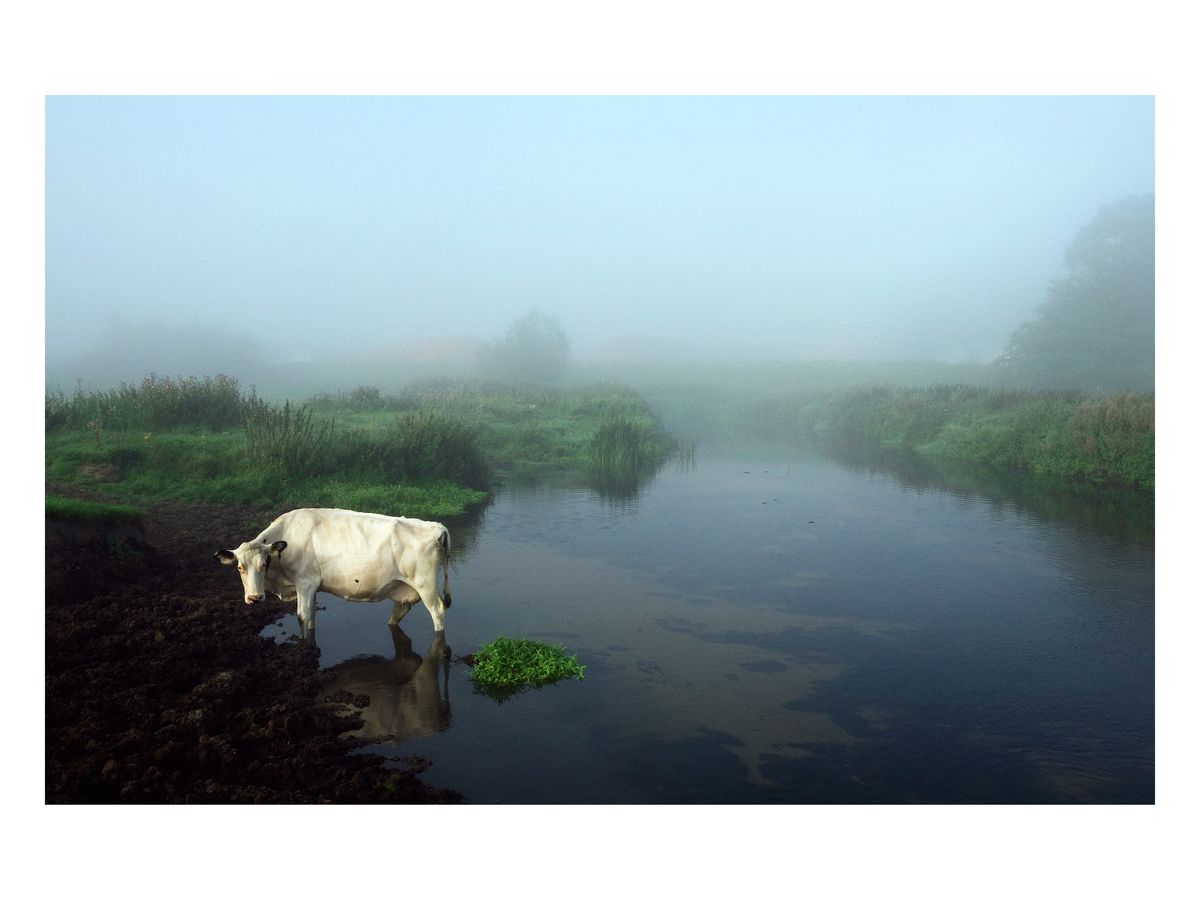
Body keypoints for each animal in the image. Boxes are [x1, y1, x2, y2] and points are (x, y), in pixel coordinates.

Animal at [214, 508, 451, 639]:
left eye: (265, 563)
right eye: (239, 567)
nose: (254, 597)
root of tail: (437, 527)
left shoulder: (305, 582)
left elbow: (302, 616)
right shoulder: (311, 587)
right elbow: (311, 616)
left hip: (426, 584)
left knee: (438, 611)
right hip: (405, 587)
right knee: (400, 610)